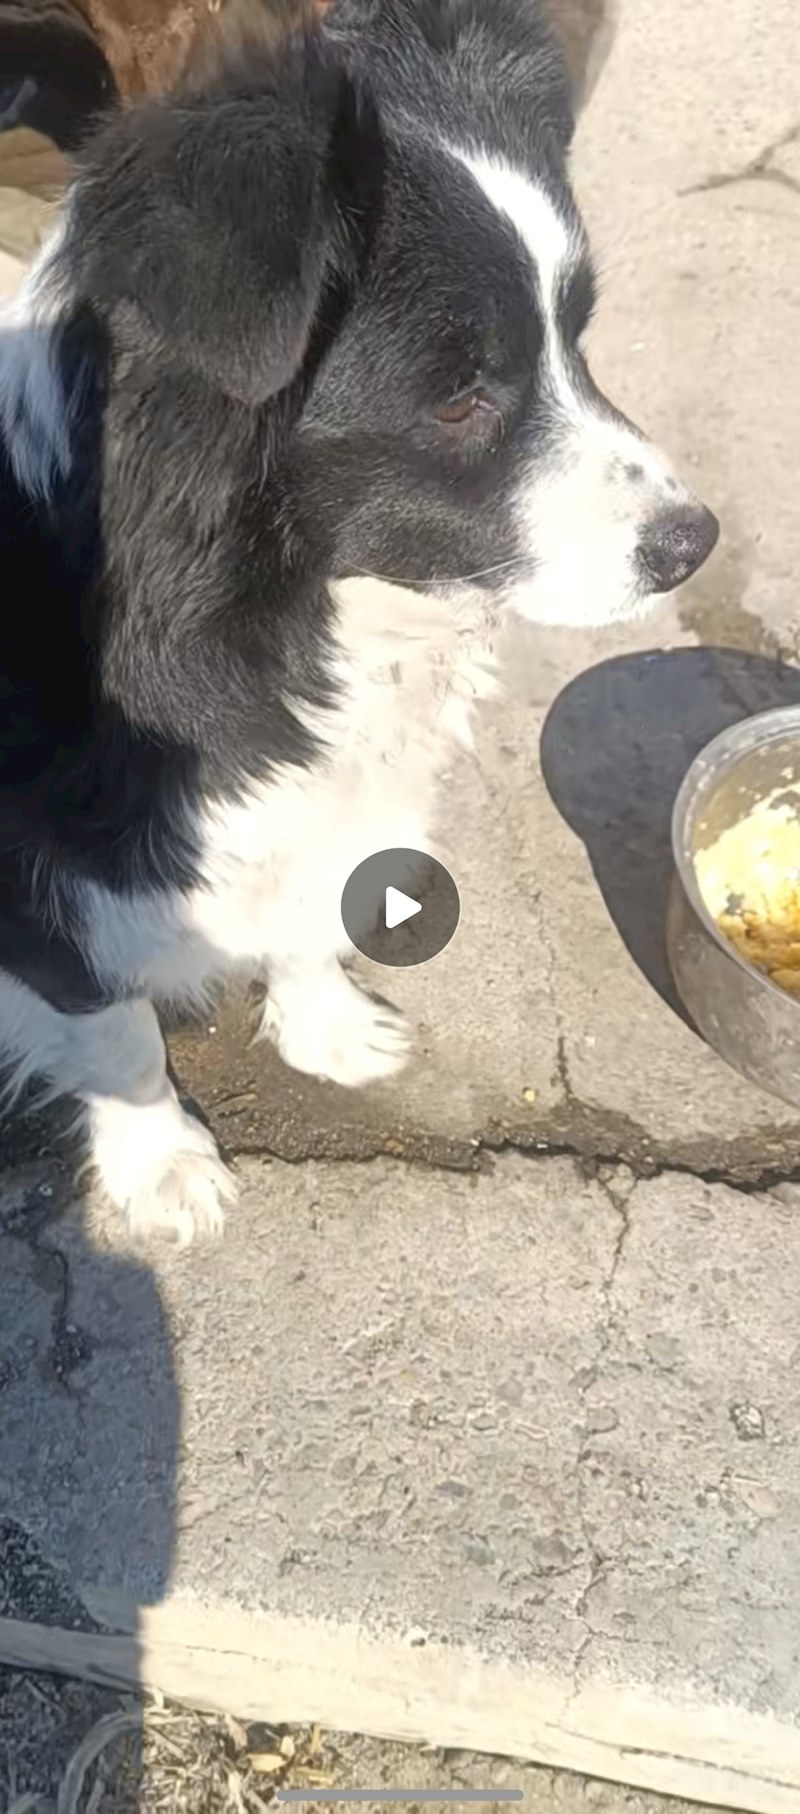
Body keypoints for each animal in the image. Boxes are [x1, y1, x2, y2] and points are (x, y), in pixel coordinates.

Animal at [0, 0, 718, 1241]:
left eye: (574, 340)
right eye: (458, 397)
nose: (692, 542)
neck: (274, 611)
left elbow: (310, 889)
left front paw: (327, 1028)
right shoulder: (41, 862)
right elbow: (101, 1006)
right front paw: (162, 1167)